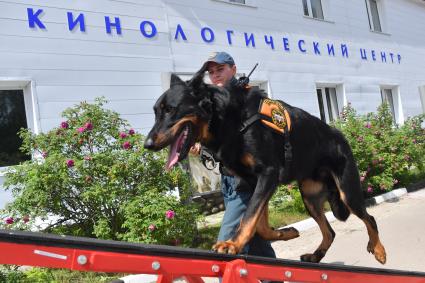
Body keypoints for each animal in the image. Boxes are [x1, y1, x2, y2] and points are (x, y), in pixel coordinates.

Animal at [144, 70, 386, 266]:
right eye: (155, 112)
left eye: (171, 110)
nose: (147, 144)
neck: (229, 119)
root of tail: (340, 135)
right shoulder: (255, 183)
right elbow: (258, 223)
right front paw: (284, 233)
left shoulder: (268, 175)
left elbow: (249, 216)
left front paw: (231, 244)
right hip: (309, 198)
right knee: (330, 232)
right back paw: (315, 256)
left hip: (347, 192)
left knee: (369, 219)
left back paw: (379, 250)